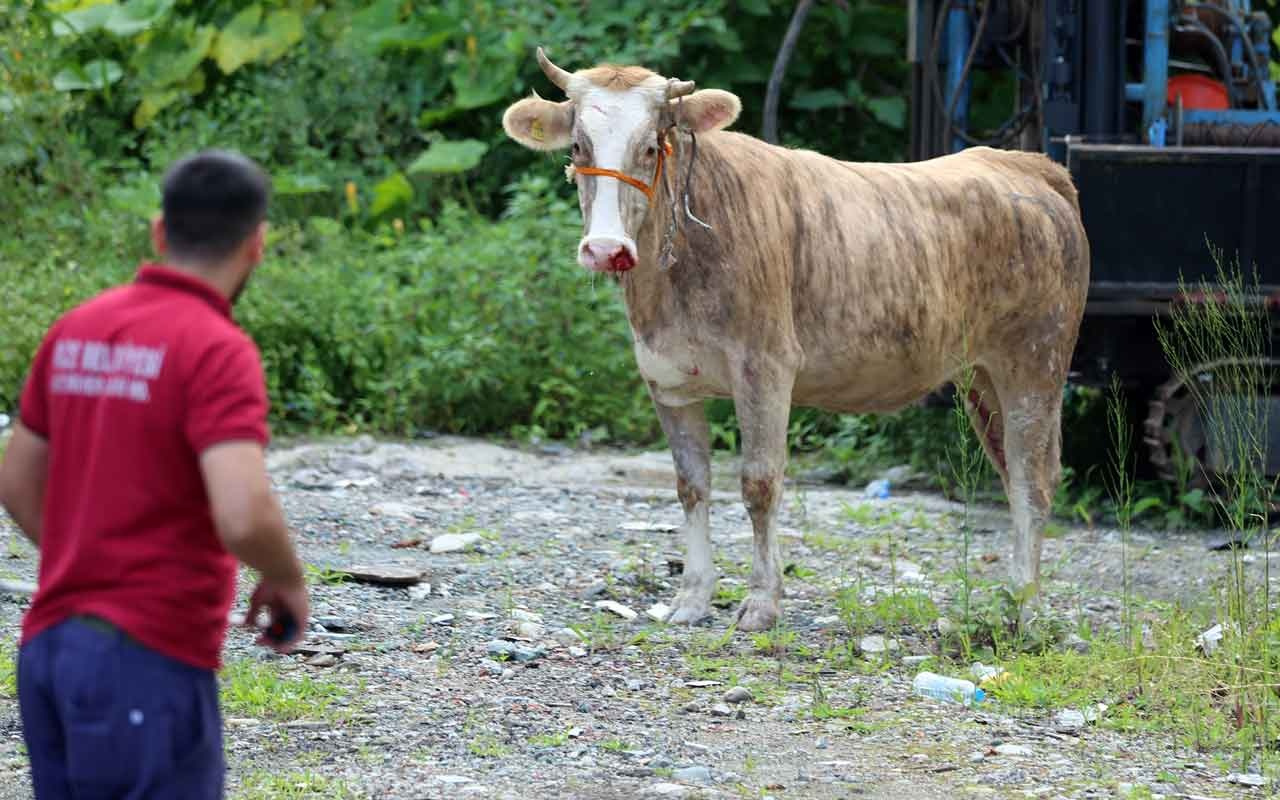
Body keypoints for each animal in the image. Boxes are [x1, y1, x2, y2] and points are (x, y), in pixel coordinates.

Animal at [499, 48, 1090, 629]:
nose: (606, 249)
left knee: (1034, 479)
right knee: (1012, 474)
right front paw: (692, 598)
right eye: (579, 145)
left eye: (649, 146)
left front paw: (762, 603)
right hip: (981, 376)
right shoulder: (666, 378)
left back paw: (1029, 612)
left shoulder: (765, 367)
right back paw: (1013, 599)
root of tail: (1027, 164)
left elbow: (759, 484)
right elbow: (691, 486)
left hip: (1036, 361)